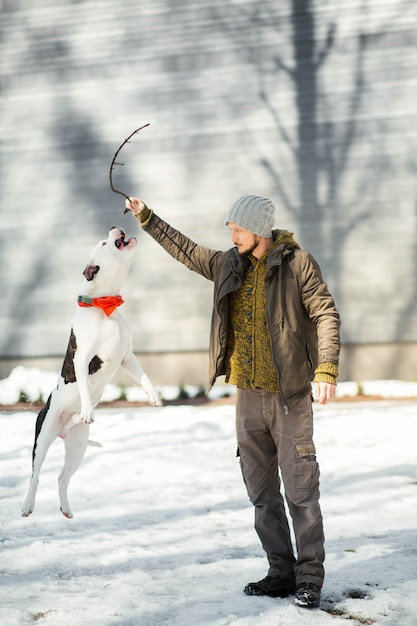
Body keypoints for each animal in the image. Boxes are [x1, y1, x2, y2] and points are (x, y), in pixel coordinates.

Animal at [21, 225, 162, 516]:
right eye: (103, 242)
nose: (114, 228)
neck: (104, 304)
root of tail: (63, 429)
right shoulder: (82, 359)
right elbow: (85, 386)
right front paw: (87, 408)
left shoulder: (127, 357)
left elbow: (143, 376)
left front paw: (153, 395)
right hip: (43, 437)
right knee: (36, 475)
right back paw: (28, 505)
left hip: (77, 447)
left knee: (62, 478)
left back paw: (66, 508)